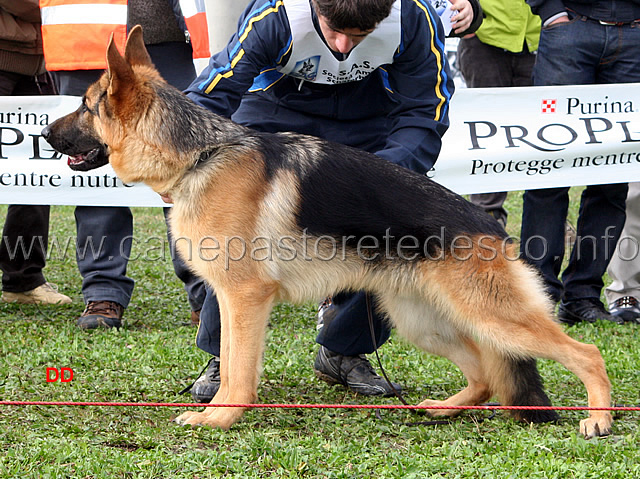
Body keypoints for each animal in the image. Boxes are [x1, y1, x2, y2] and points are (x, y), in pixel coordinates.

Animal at [42, 27, 612, 438]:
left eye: (86, 107)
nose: (42, 132)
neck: (200, 155)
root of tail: (489, 226)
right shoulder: (229, 299)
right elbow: (228, 361)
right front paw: (218, 409)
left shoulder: (245, 298)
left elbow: (238, 370)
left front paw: (221, 418)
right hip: (425, 323)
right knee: (486, 377)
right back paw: (442, 409)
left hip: (493, 317)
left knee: (584, 353)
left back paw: (600, 417)